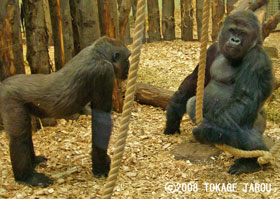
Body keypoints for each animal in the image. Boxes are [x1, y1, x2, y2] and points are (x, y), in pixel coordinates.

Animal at [0, 35, 131, 187]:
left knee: (25, 132)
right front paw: (101, 167)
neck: (98, 54)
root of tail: (3, 84)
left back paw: (33, 161)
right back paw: (26, 177)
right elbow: (101, 120)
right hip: (9, 98)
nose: (128, 67)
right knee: (18, 137)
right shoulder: (103, 72)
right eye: (126, 58)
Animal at [164, 10, 274, 174]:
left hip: (260, 126)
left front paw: (207, 130)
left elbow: (243, 100)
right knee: (192, 102)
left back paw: (251, 161)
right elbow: (193, 82)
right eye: (232, 30)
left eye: (242, 33)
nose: (235, 40)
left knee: (245, 127)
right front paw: (172, 118)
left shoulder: (257, 59)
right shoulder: (213, 49)